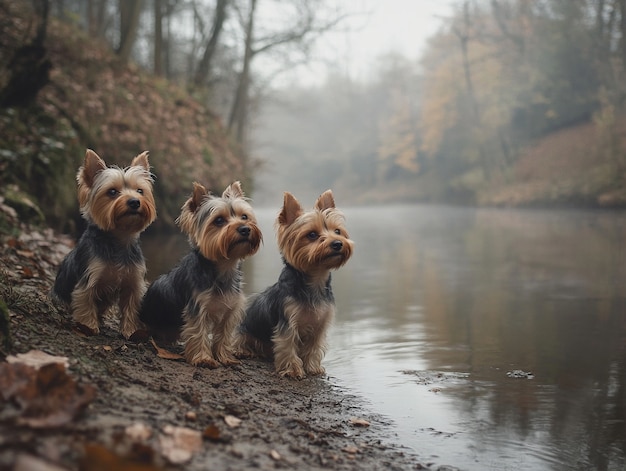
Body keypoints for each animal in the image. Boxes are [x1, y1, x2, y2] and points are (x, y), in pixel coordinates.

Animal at [53, 149, 156, 338]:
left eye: (140, 191)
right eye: (112, 192)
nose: (134, 201)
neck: (119, 238)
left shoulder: (133, 281)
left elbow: (132, 305)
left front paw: (131, 330)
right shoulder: (90, 276)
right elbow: (85, 300)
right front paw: (88, 326)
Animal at [139, 181, 260, 368]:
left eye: (244, 217)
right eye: (219, 220)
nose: (245, 229)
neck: (223, 267)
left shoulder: (230, 309)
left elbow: (224, 335)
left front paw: (224, 357)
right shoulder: (197, 307)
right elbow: (199, 332)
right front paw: (204, 358)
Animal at [236, 190, 352, 378]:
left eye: (337, 231)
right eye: (312, 234)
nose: (337, 243)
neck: (314, 280)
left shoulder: (320, 325)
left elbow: (314, 346)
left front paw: (312, 367)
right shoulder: (288, 322)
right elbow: (287, 344)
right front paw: (292, 369)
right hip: (244, 331)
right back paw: (243, 350)